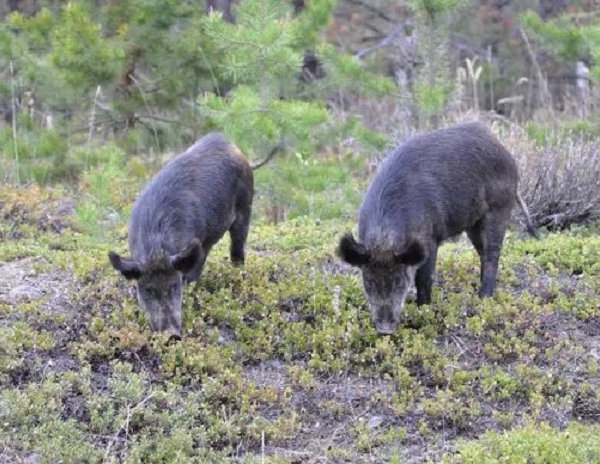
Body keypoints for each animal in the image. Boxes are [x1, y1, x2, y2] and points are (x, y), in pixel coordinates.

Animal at [108, 132, 284, 338]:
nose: (171, 334)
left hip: (245, 207)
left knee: (237, 250)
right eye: (148, 290)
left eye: (175, 286)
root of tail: (236, 149)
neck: (156, 247)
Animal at [336, 121, 536, 336]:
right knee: (482, 251)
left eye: (399, 281)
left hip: (499, 208)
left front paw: (423, 312)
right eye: (369, 281)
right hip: (473, 223)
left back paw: (484, 298)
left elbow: (423, 279)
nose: (384, 330)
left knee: (493, 253)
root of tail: (503, 149)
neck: (385, 238)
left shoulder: (430, 240)